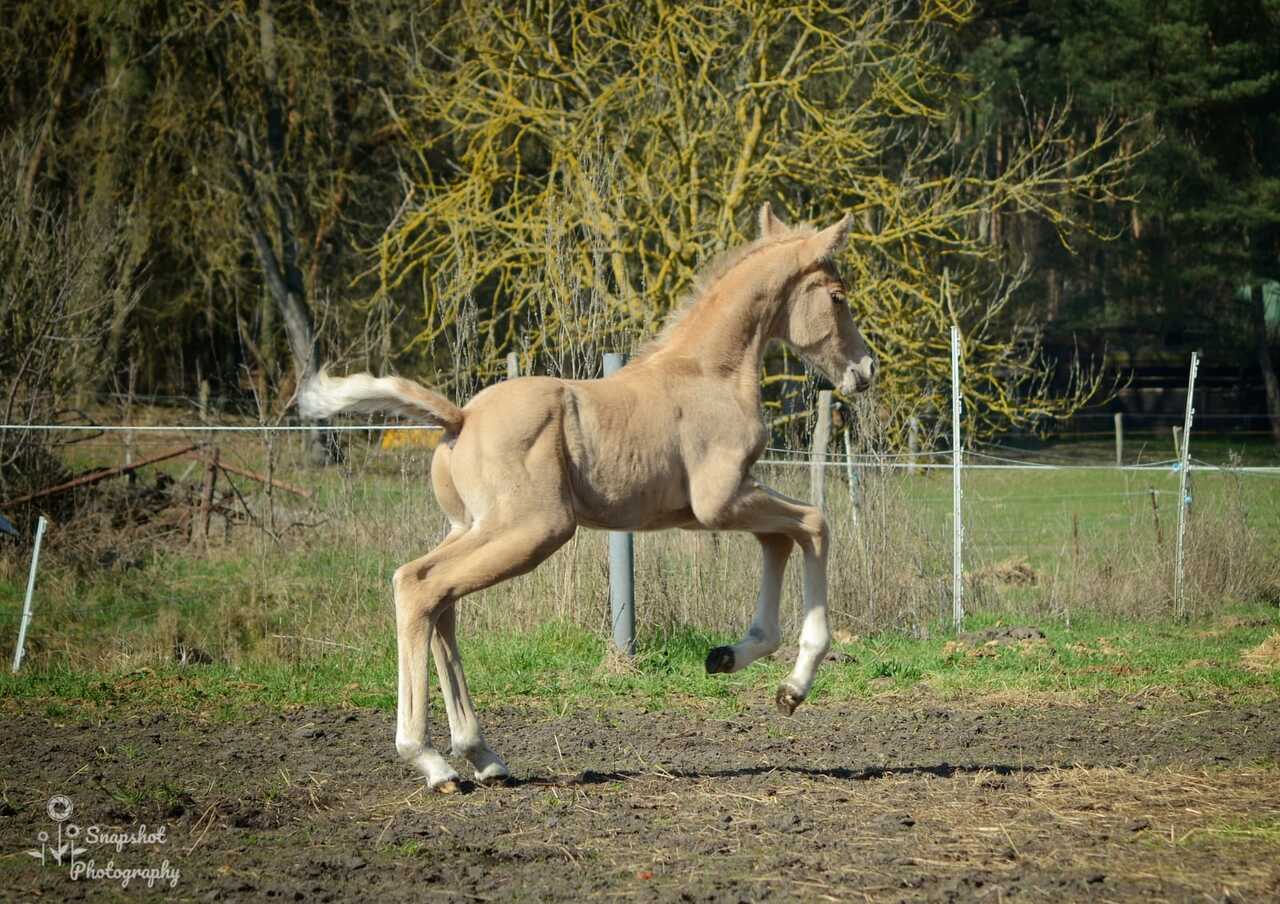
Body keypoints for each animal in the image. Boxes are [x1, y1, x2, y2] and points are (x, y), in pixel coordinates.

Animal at [302, 206, 880, 788]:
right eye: (837, 296)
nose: (865, 370)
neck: (709, 373)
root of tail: (459, 417)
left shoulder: (728, 502)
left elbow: (780, 541)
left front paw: (728, 657)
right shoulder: (720, 502)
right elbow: (815, 522)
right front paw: (792, 688)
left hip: (471, 527)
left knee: (437, 597)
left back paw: (482, 755)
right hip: (532, 530)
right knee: (420, 587)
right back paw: (431, 760)